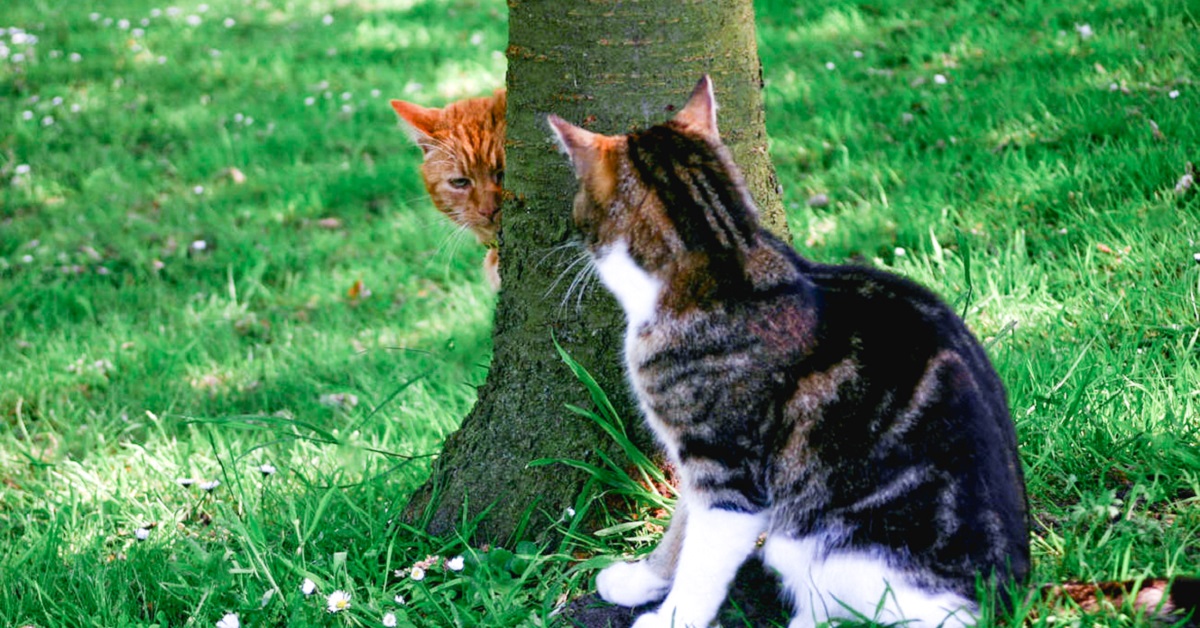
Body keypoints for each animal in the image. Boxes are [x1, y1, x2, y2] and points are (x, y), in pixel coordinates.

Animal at [552, 76, 1032, 624]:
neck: (722, 258)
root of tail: (1005, 598)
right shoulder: (699, 466)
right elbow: (681, 527)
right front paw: (642, 578)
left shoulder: (728, 472)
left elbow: (703, 562)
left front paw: (671, 616)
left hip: (825, 546)